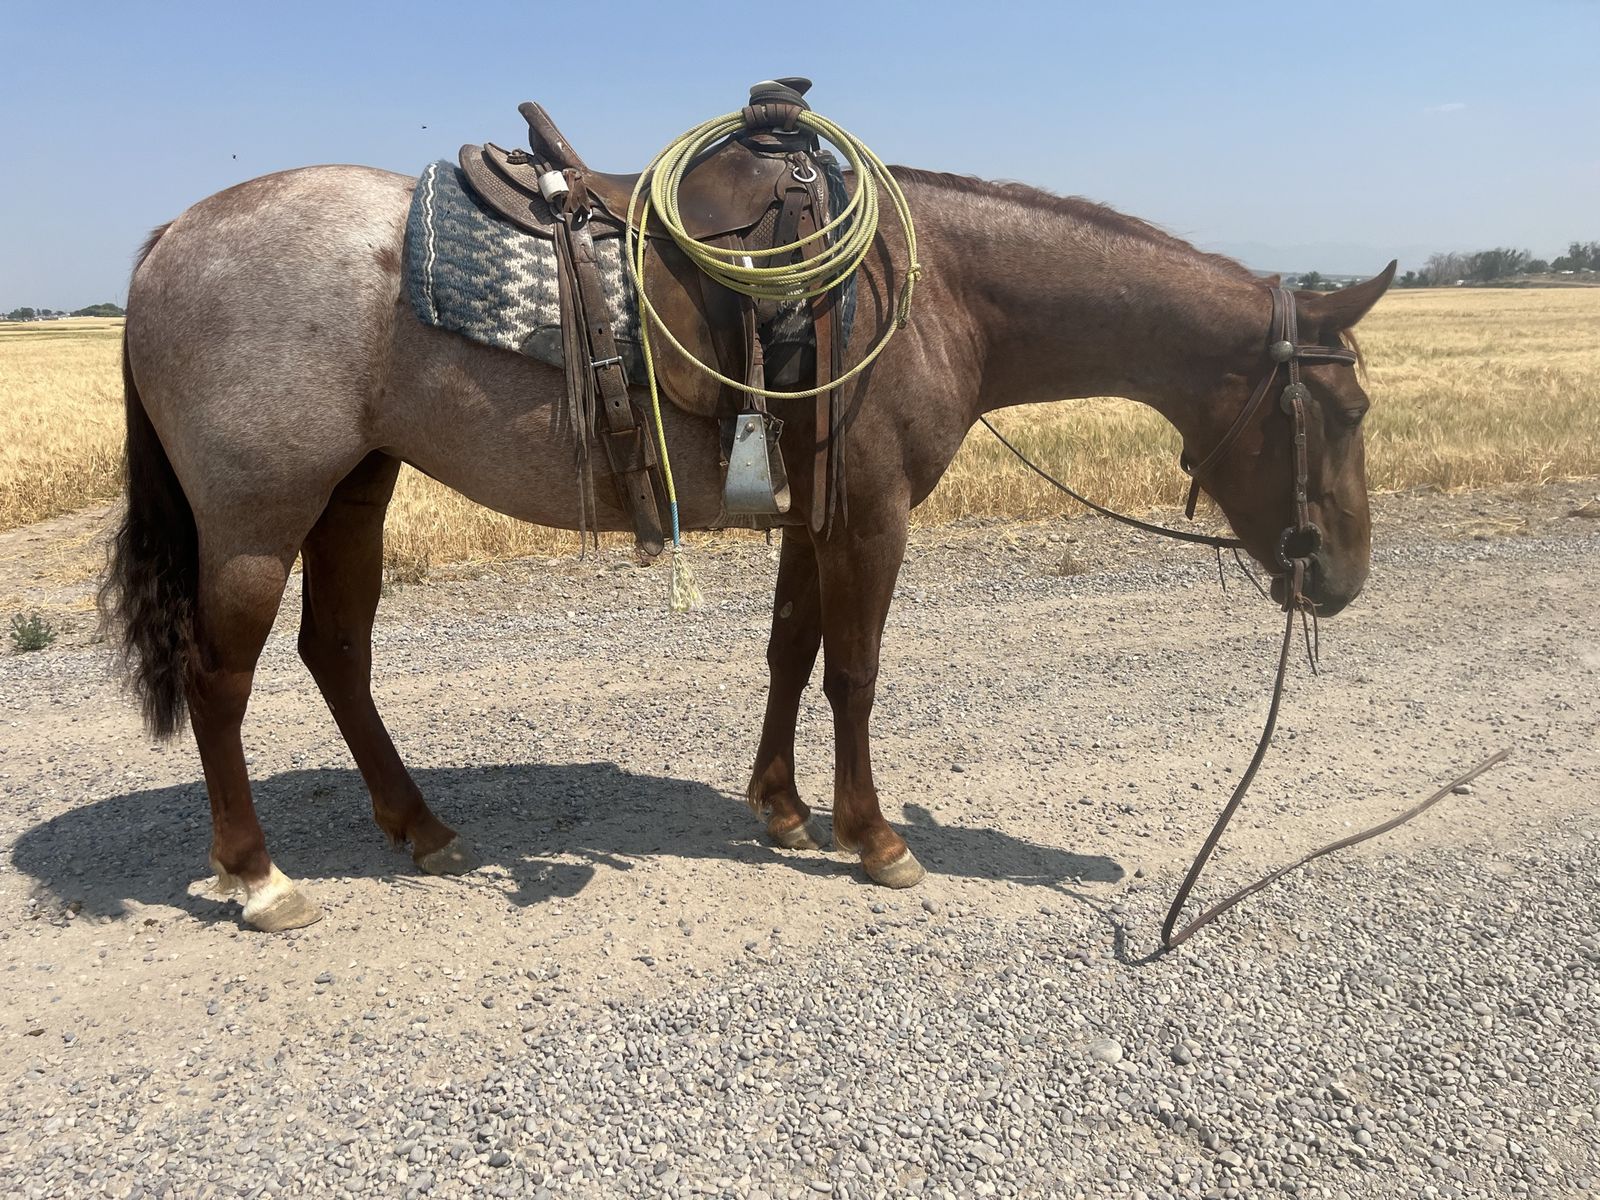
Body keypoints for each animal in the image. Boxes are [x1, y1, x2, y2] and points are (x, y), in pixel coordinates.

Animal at [105, 159, 1393, 931]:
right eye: (1345, 411)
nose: (1338, 577)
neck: (933, 292)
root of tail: (170, 236)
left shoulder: (813, 514)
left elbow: (789, 653)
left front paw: (780, 807)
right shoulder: (873, 515)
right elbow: (855, 672)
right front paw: (875, 837)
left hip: (354, 493)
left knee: (337, 655)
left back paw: (420, 828)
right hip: (258, 519)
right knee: (223, 683)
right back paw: (258, 877)